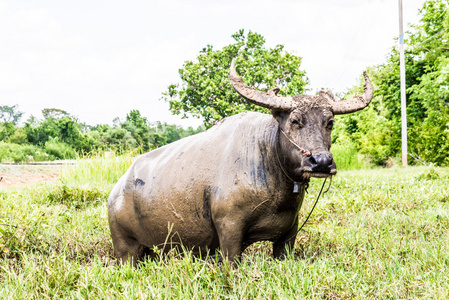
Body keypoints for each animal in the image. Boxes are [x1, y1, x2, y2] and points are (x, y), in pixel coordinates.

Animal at [107, 59, 372, 264]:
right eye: (295, 121)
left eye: (330, 122)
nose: (321, 162)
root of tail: (116, 192)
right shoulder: (229, 229)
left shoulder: (289, 233)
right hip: (125, 248)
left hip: (151, 250)